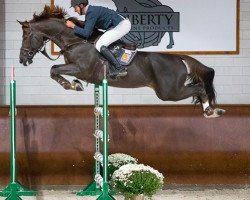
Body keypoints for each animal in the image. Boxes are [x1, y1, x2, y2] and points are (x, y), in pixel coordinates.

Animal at [18, 5, 226, 118]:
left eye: (26, 36)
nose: (21, 59)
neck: (75, 41)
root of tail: (178, 57)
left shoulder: (79, 68)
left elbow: (54, 69)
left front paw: (72, 85)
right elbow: (54, 69)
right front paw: (75, 84)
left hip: (168, 92)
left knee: (199, 88)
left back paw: (210, 111)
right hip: (170, 90)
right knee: (198, 88)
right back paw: (212, 110)